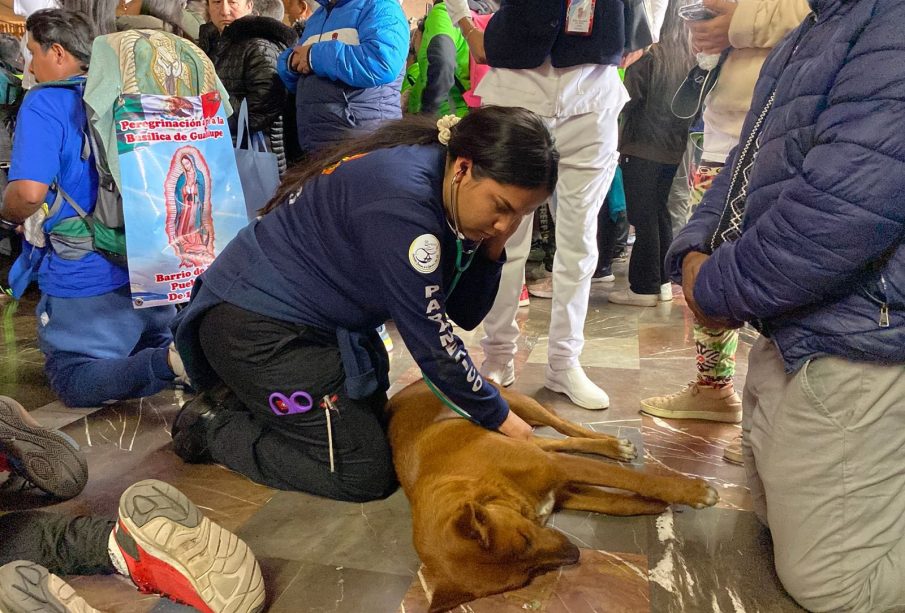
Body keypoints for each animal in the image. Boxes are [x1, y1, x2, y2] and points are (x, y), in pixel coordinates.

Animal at [384, 380, 716, 608]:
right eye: (527, 577)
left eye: (525, 538)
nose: (575, 554)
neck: (475, 483)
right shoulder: (564, 489)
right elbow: (618, 502)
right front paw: (658, 505)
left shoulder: (558, 468)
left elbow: (630, 478)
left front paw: (691, 492)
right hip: (526, 435)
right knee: (560, 441)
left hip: (515, 406)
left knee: (567, 426)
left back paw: (613, 444)